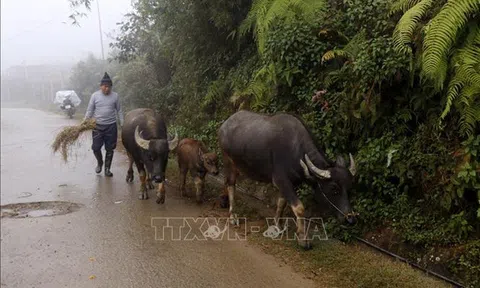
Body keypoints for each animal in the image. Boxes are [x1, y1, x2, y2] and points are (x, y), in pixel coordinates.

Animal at [218, 109, 356, 249]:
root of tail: (225, 124)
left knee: (226, 182)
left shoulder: (291, 183)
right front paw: (303, 239)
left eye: (350, 188)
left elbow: (281, 203)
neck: (296, 150)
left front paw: (277, 225)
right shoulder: (281, 180)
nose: (350, 219)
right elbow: (299, 208)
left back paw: (224, 201)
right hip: (228, 161)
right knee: (231, 184)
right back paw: (232, 215)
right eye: (334, 188)